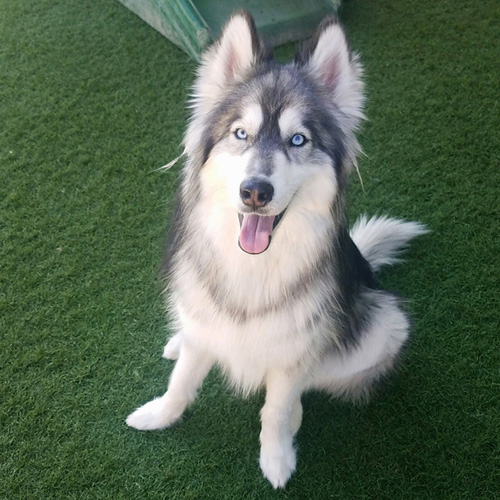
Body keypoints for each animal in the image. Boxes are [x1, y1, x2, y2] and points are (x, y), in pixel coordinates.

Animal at [127, 10, 428, 488]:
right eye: (240, 133)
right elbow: (182, 379)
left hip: (386, 324)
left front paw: (277, 457)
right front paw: (161, 414)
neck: (253, 266)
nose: (255, 191)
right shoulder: (206, 317)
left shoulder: (293, 350)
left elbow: (277, 407)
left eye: (298, 140)